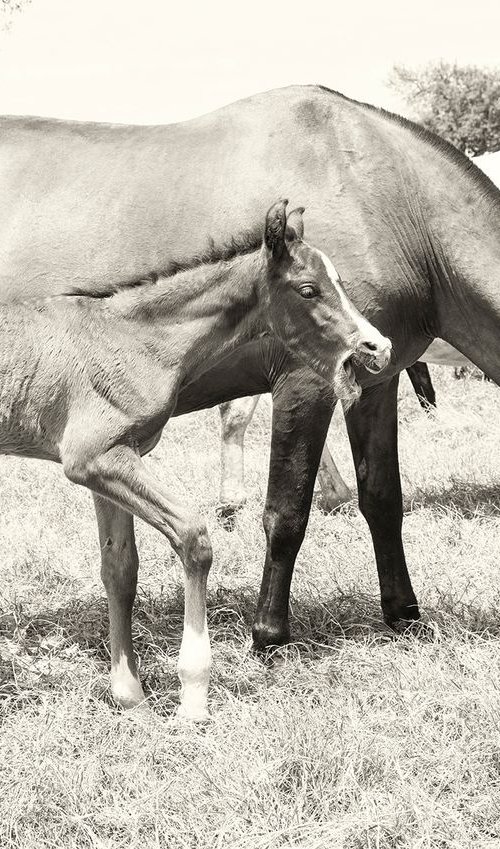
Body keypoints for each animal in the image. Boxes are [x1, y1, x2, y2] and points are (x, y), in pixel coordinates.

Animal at [0, 86, 500, 660]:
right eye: (309, 290)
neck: (388, 196)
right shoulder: (305, 382)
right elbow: (286, 514)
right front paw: (269, 635)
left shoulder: (376, 382)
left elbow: (383, 500)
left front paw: (402, 614)